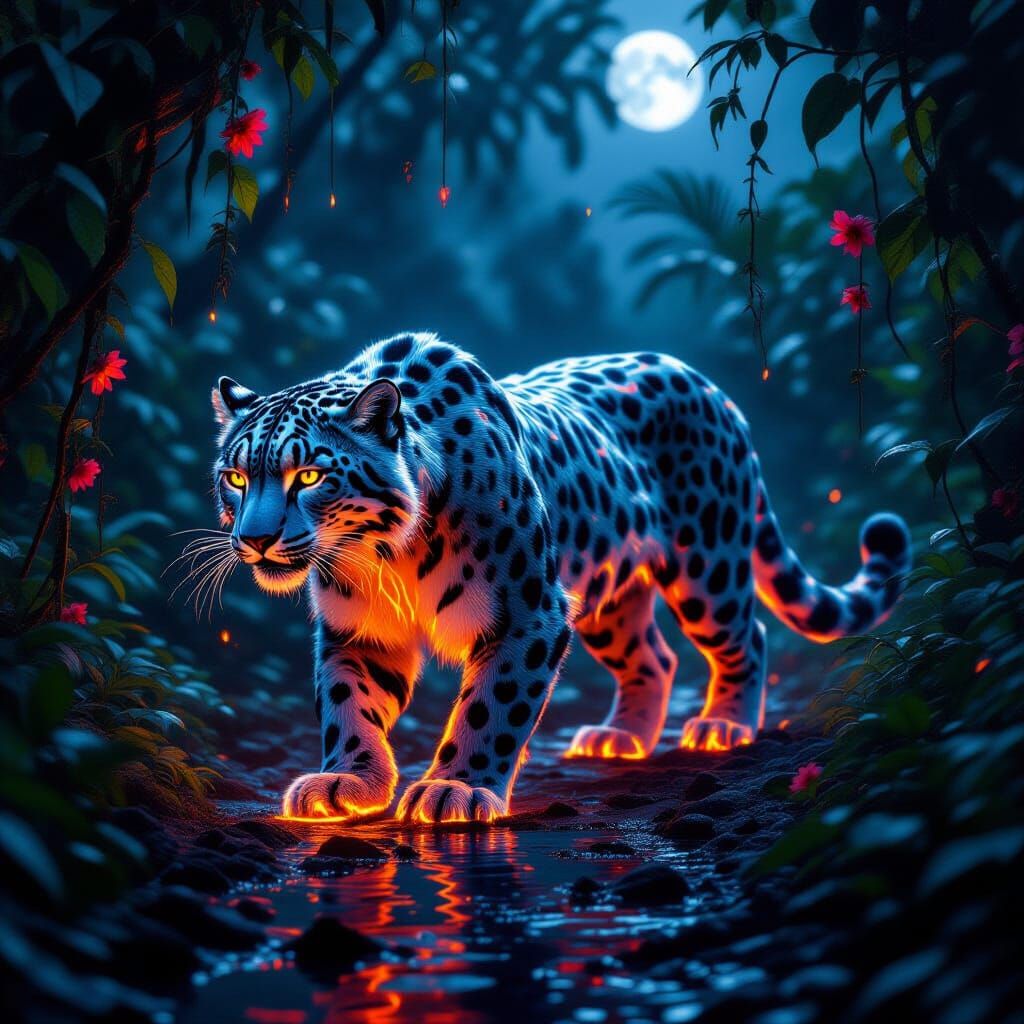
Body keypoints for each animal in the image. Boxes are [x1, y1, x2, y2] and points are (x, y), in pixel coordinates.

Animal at [209, 331, 911, 823]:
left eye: (310, 476)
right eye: (236, 477)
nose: (255, 538)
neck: (384, 557)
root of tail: (706, 384)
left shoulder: (530, 613)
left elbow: (492, 706)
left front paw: (456, 790)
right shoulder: (358, 633)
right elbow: (349, 705)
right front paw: (348, 783)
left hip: (706, 565)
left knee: (746, 637)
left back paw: (723, 727)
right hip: (609, 596)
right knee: (653, 657)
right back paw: (618, 740)